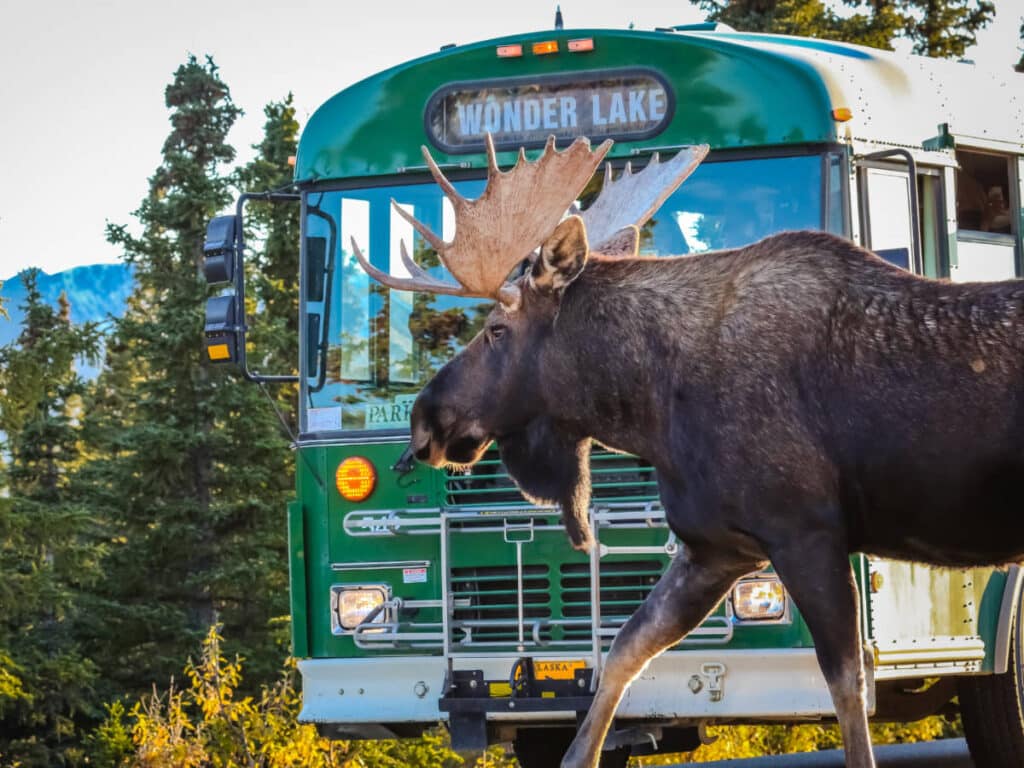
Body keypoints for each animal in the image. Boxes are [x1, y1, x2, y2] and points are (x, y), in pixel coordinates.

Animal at [351, 134, 1024, 768]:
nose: (423, 421)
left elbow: (847, 683)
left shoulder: (805, 532)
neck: (650, 406)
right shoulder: (715, 546)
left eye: (495, 330)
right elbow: (625, 649)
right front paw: (579, 752)